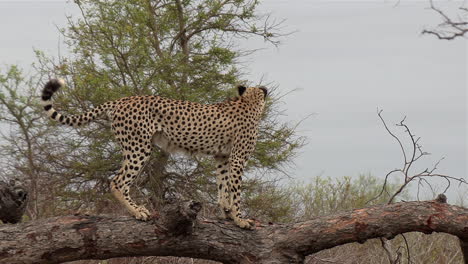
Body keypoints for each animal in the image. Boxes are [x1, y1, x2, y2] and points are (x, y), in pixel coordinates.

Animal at [41, 79, 266, 230]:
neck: (248, 102)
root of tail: (122, 99)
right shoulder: (237, 159)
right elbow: (235, 191)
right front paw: (240, 219)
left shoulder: (222, 157)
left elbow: (223, 187)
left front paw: (227, 213)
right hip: (139, 147)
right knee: (118, 181)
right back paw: (138, 211)